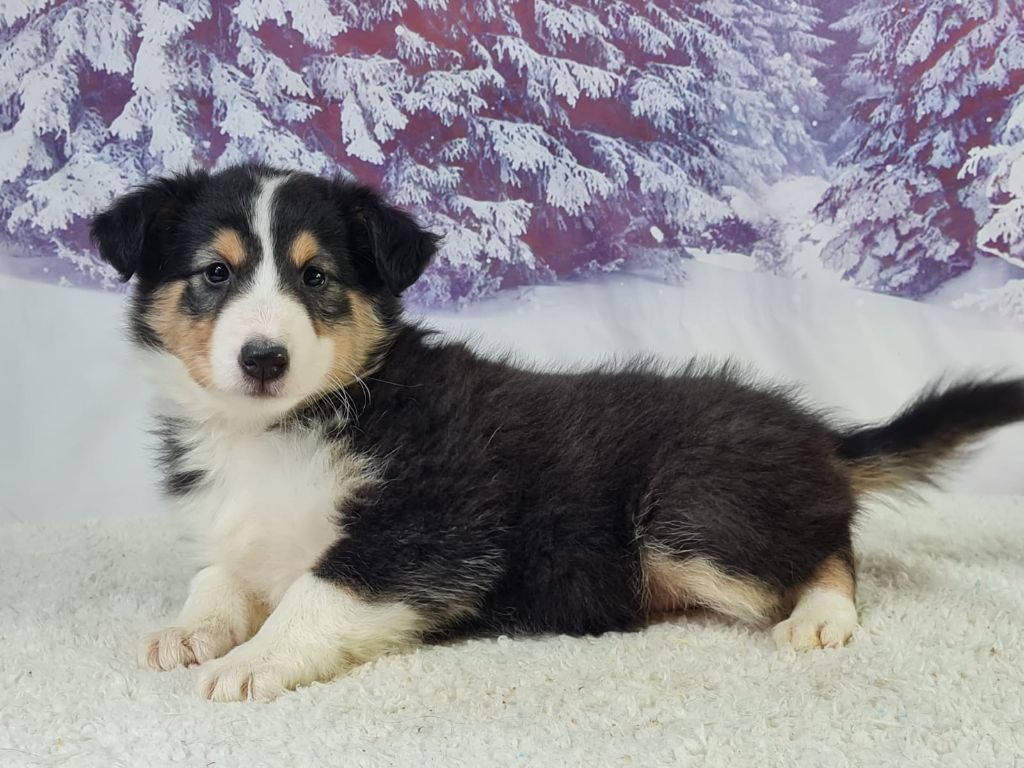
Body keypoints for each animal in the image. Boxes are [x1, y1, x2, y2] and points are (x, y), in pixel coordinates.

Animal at [91, 163, 1024, 702]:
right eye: (215, 273)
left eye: (316, 278)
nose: (263, 359)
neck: (284, 425)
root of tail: (820, 440)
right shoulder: (251, 529)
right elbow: (221, 575)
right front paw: (190, 629)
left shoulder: (427, 530)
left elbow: (319, 592)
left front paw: (252, 660)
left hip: (691, 508)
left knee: (831, 547)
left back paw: (821, 618)